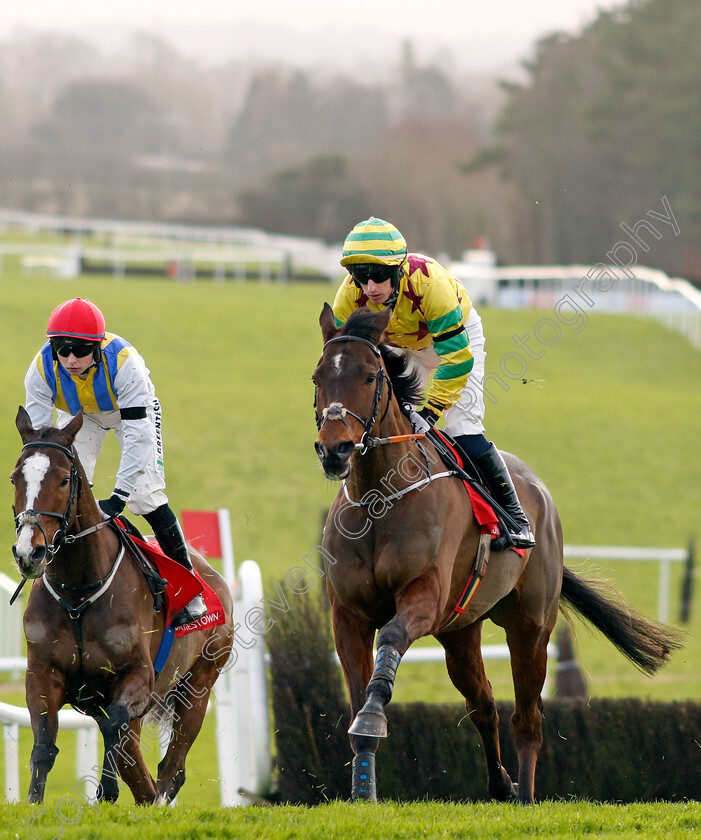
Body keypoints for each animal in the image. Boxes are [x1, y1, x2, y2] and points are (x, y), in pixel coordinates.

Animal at [10, 408, 234, 808]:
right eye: (14, 478)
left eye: (64, 479)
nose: (28, 553)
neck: (79, 594)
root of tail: (213, 577)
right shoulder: (42, 673)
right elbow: (45, 745)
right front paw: (34, 804)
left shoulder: (138, 676)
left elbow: (116, 725)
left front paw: (107, 791)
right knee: (139, 762)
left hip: (199, 684)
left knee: (171, 766)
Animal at [314, 306, 684, 804]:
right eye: (318, 377)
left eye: (370, 376)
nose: (334, 450)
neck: (380, 498)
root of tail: (541, 494)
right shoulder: (348, 614)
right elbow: (357, 695)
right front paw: (363, 783)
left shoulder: (422, 595)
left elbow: (389, 639)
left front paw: (373, 721)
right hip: (460, 631)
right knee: (483, 705)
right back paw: (501, 784)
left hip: (531, 625)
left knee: (526, 717)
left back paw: (524, 795)